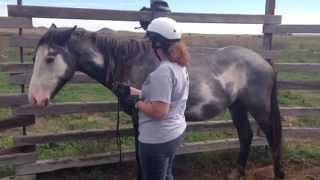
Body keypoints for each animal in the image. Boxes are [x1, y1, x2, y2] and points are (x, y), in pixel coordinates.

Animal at [28, 24, 284, 179]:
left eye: (50, 57)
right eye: (35, 58)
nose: (34, 98)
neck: (130, 62)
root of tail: (263, 61)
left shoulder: (141, 117)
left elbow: (142, 154)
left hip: (259, 109)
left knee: (273, 138)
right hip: (237, 107)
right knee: (246, 136)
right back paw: (237, 173)